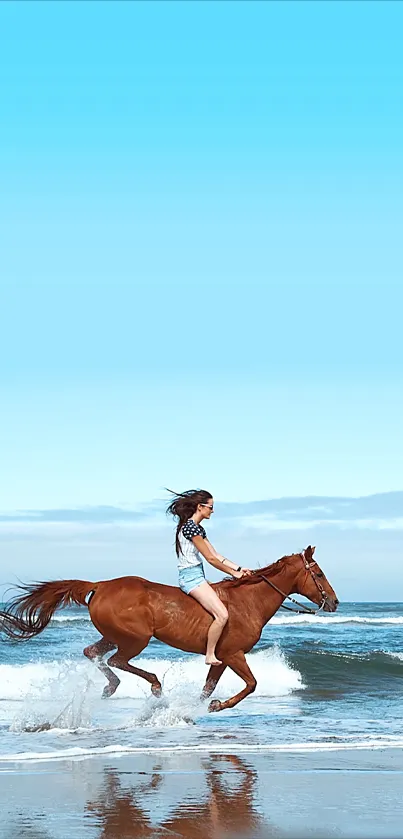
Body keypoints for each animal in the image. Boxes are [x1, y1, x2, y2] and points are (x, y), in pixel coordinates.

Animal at [0, 548, 338, 712]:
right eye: (320, 573)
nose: (334, 602)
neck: (248, 602)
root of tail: (101, 585)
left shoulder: (222, 658)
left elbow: (208, 688)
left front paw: (203, 705)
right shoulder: (233, 654)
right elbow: (252, 684)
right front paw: (218, 706)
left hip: (114, 635)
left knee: (93, 653)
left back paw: (112, 688)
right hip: (135, 639)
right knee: (117, 660)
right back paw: (154, 686)